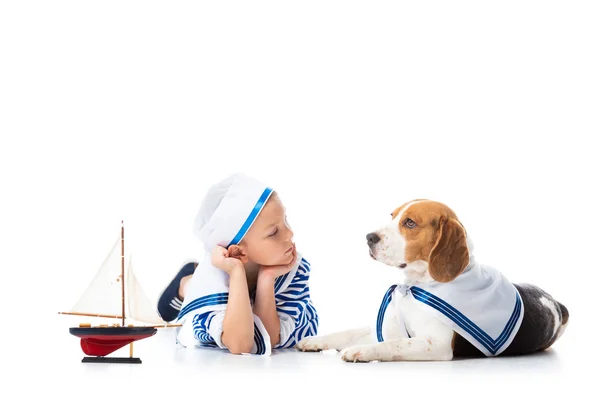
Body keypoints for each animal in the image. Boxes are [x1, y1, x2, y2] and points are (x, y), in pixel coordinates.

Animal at [298, 200, 568, 362]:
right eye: (392, 215)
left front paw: (361, 350)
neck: (418, 285)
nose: (369, 237)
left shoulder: (435, 344)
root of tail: (555, 302)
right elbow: (349, 331)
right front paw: (315, 340)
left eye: (409, 223)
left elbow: (393, 345)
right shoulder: (384, 329)